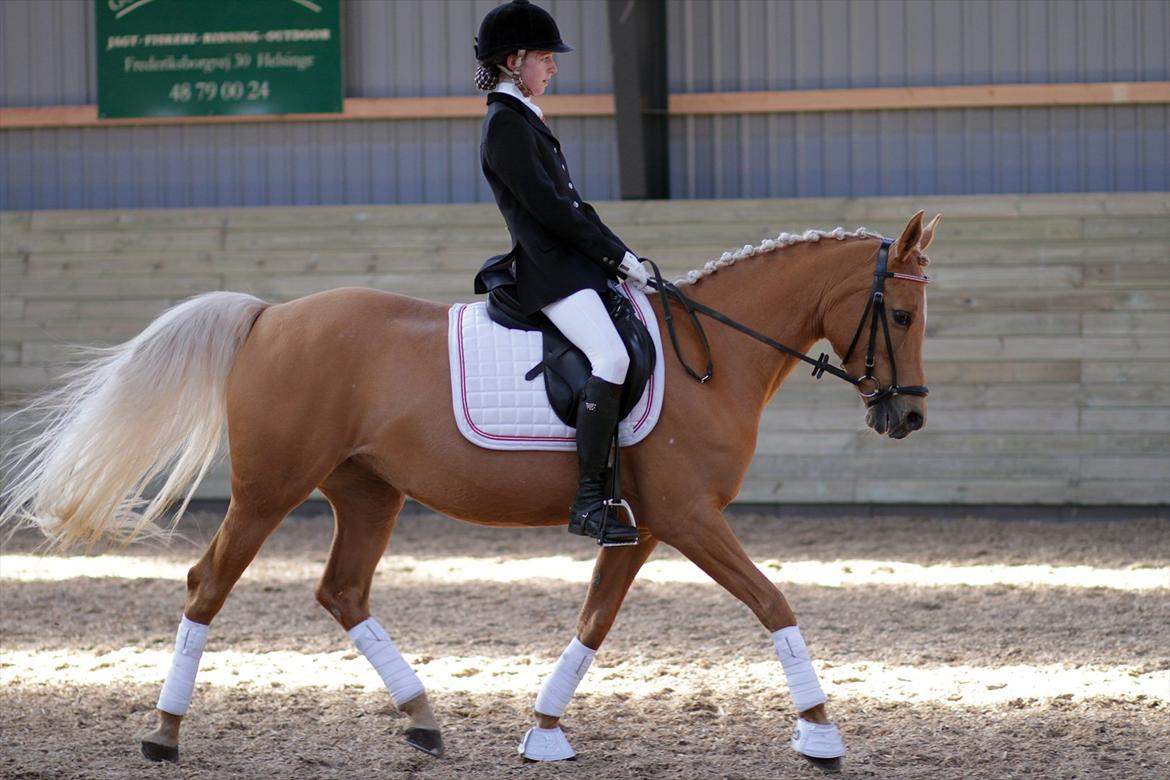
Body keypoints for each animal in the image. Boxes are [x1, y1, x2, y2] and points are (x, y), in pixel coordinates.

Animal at [0, 209, 931, 776]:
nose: (908, 417)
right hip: (269, 492)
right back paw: (163, 732)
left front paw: (544, 732)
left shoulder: (641, 528)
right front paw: (820, 731)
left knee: (341, 590)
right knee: (207, 586)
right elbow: (774, 603)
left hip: (367, 494)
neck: (713, 356)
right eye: (904, 317)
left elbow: (594, 623)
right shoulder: (691, 520)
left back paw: (421, 715)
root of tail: (269, 316)